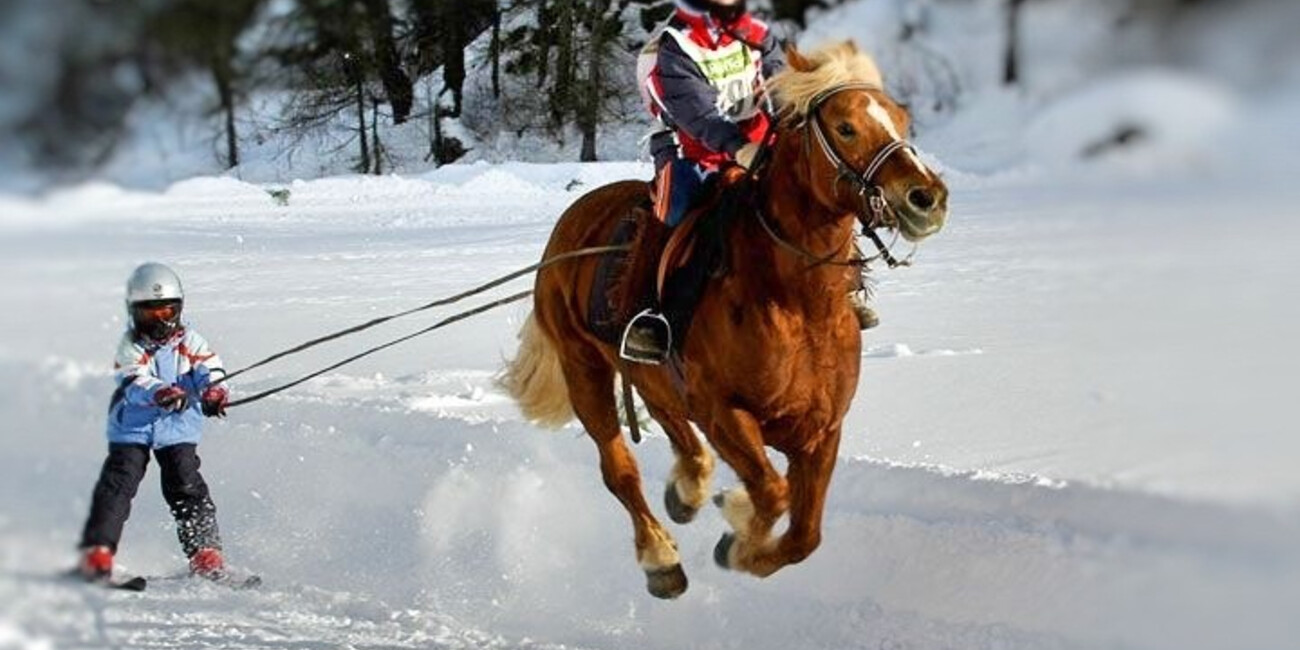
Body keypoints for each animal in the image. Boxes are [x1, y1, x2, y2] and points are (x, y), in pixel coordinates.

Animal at [501, 40, 951, 598]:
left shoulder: (821, 430)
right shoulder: (726, 413)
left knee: (672, 424)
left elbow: (805, 535)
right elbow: (773, 493)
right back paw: (661, 559)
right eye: (846, 127)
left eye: (901, 121)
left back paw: (689, 489)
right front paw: (739, 538)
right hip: (584, 370)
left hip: (651, 378)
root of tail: (569, 227)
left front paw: (741, 533)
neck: (799, 304)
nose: (926, 198)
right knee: (619, 469)